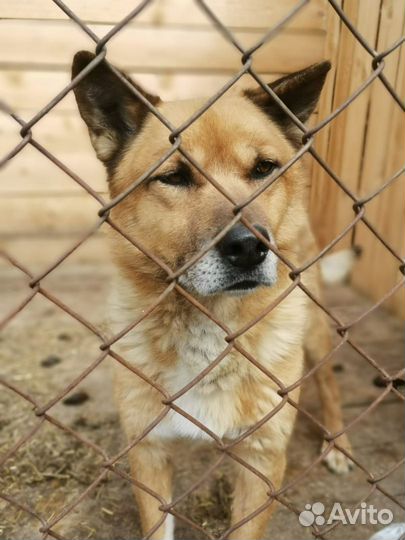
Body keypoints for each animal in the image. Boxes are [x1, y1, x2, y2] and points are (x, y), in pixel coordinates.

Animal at [72, 53, 350, 540]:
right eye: (174, 177)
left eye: (263, 168)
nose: (250, 247)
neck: (212, 328)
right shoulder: (149, 452)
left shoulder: (262, 457)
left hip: (313, 330)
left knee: (330, 385)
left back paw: (337, 443)